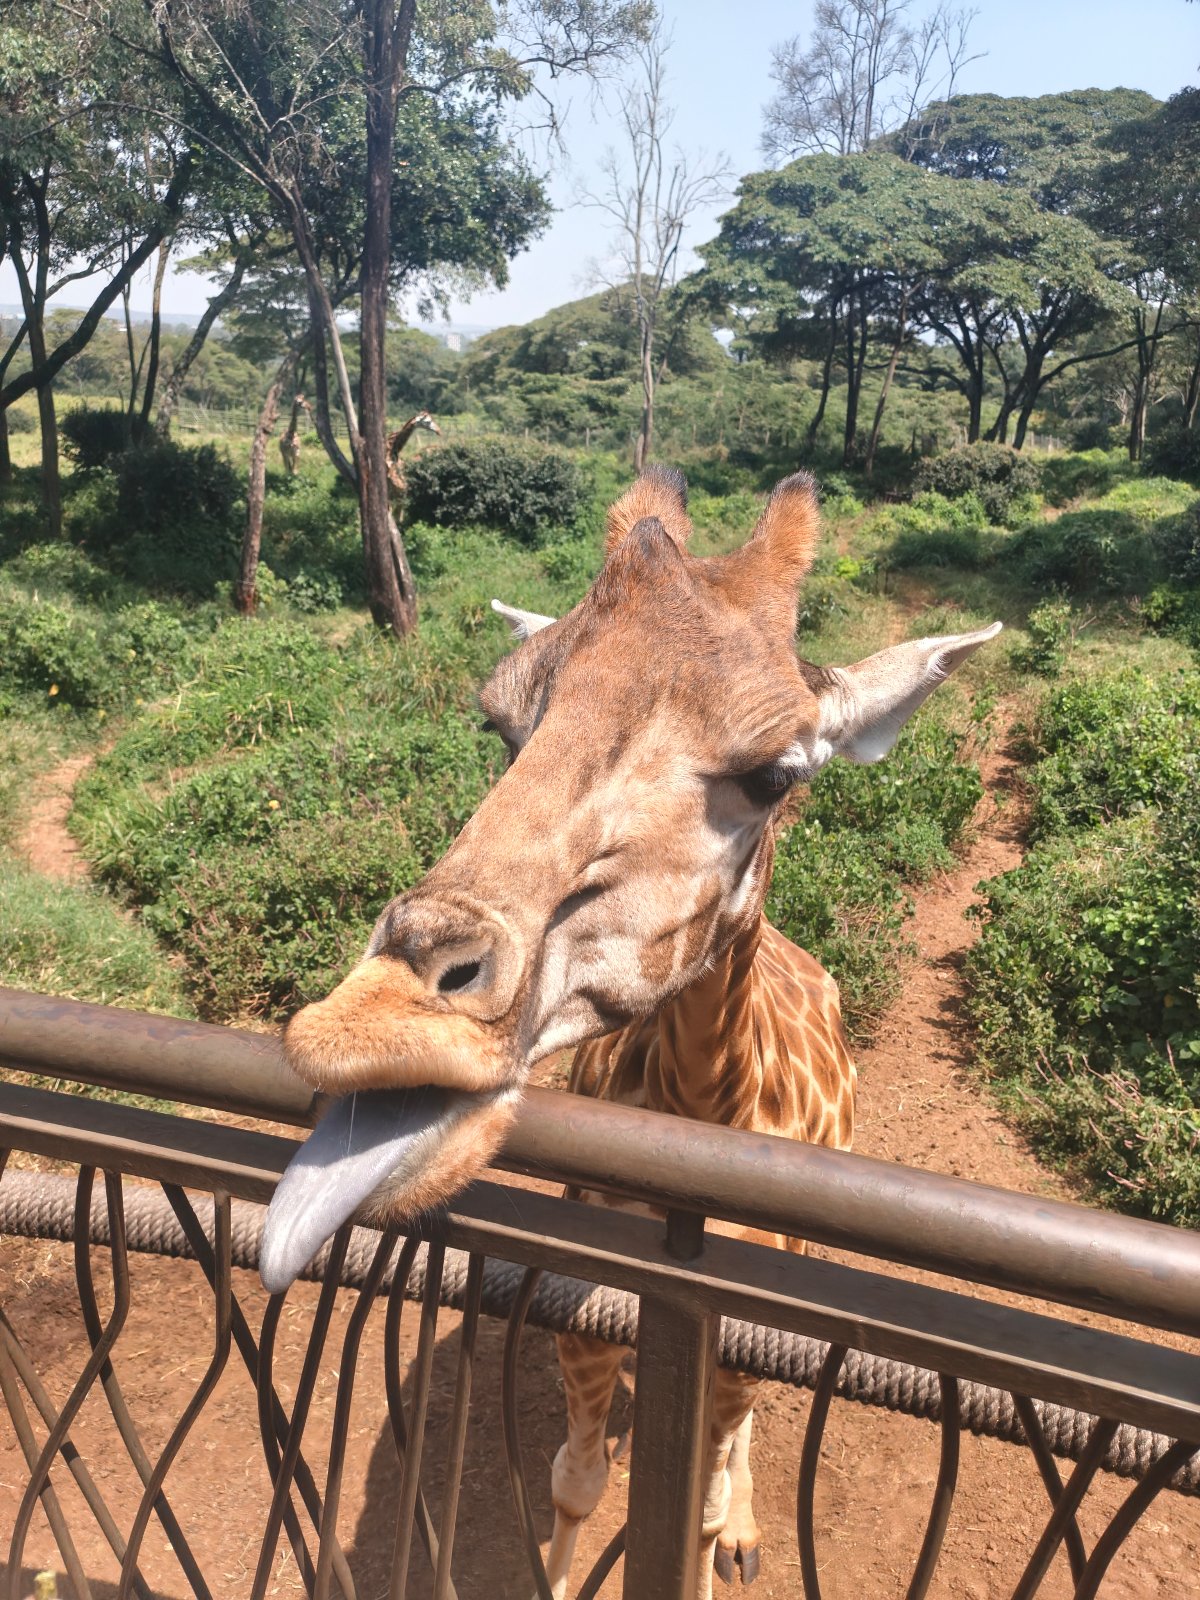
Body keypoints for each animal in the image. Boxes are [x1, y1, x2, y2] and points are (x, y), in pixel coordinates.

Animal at [260, 468, 1001, 1595]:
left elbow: (696, 1498)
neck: (705, 1106)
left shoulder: (736, 1332)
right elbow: (573, 1482)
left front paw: (726, 1535)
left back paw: (746, 1534)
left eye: (777, 776)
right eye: (504, 731)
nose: (373, 1027)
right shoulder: (586, 1317)